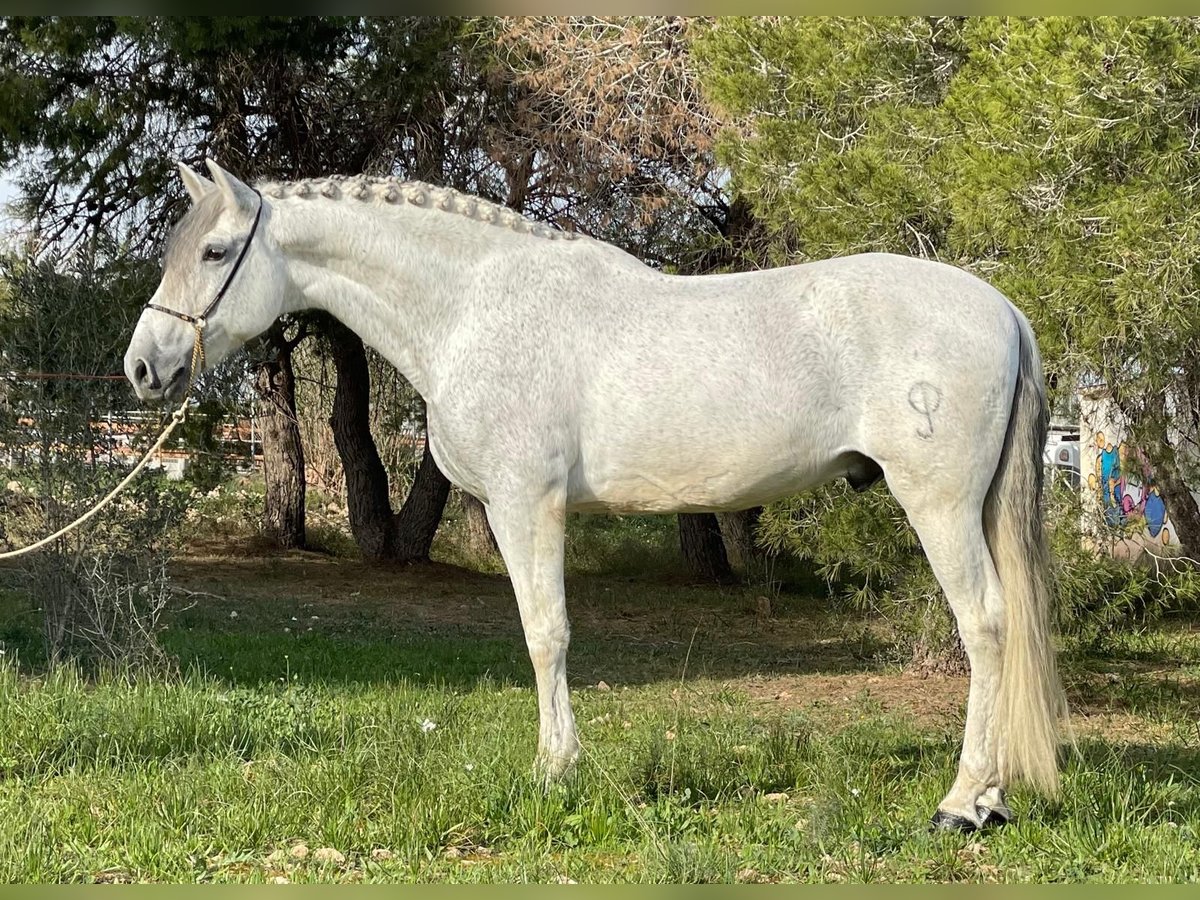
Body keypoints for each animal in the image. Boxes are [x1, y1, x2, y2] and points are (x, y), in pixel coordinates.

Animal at [126, 160, 1065, 830]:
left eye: (215, 252)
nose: (144, 366)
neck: (473, 306)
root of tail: (1003, 309)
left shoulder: (524, 505)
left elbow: (546, 636)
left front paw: (554, 772)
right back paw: (994, 797)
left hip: (939, 505)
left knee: (986, 624)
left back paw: (964, 803)